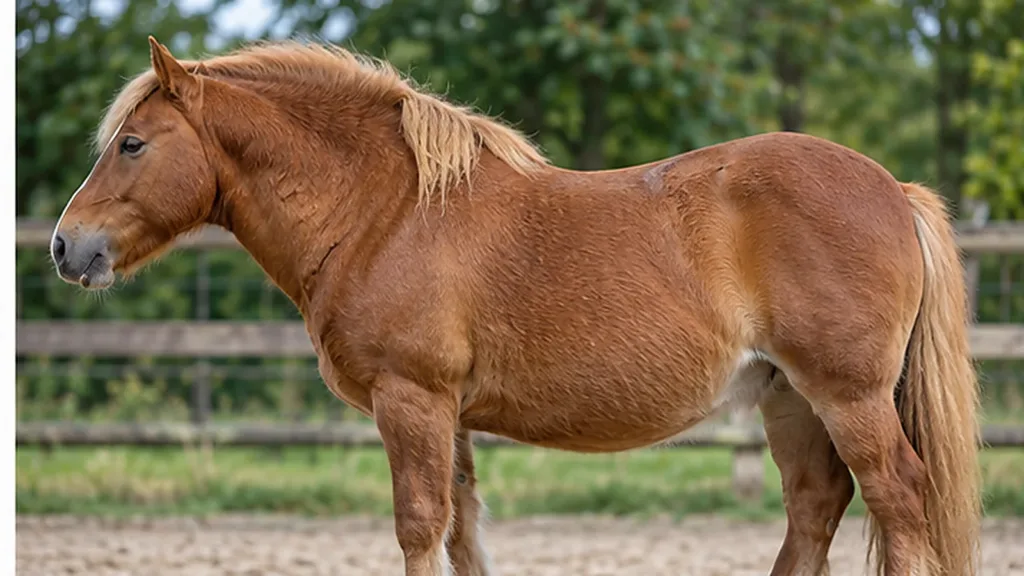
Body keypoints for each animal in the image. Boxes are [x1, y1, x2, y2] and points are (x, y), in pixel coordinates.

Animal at [50, 37, 981, 576]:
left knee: (898, 499)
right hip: (790, 399)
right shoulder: (450, 415)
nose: (66, 245)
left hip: (846, 395)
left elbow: (419, 527)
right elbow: (462, 531)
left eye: (132, 144)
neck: (387, 210)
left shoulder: (413, 401)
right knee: (816, 509)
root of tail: (892, 190)